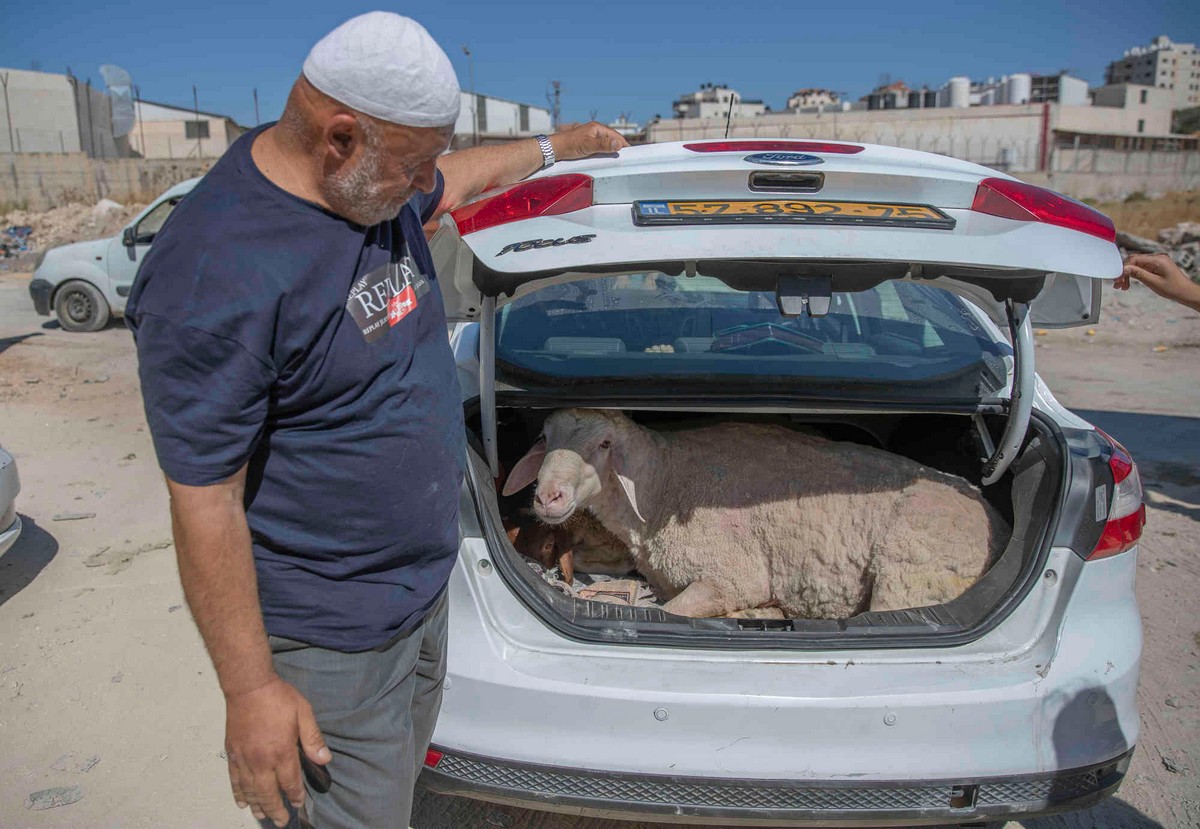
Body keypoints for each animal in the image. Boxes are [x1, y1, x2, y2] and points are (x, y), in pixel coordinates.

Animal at [501, 407, 1008, 614]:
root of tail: (996, 523)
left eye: (605, 444)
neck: (666, 482)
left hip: (911, 578)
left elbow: (676, 612)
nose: (547, 497)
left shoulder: (732, 576)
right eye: (544, 437)